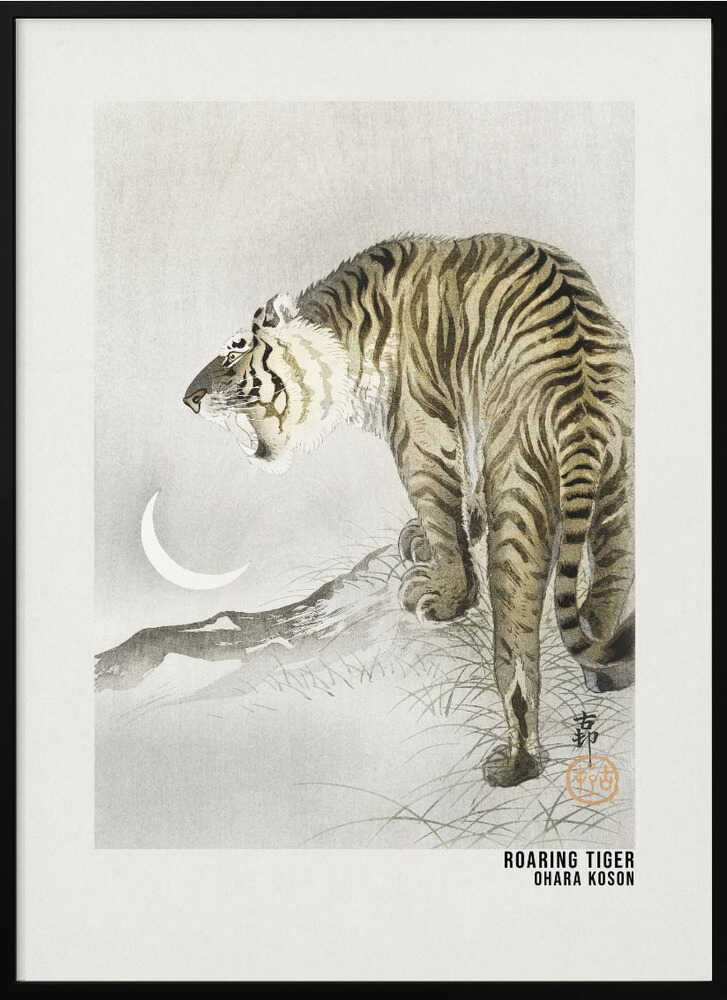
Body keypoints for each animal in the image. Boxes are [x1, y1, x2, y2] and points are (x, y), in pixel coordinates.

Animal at [183, 234, 634, 787]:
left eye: (235, 352)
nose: (189, 398)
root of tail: (581, 403)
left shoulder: (419, 435)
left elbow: (441, 514)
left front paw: (445, 594)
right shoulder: (467, 418)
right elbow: (463, 494)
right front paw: (440, 533)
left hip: (520, 497)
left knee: (517, 652)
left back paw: (516, 763)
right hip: (619, 492)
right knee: (609, 588)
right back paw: (607, 670)